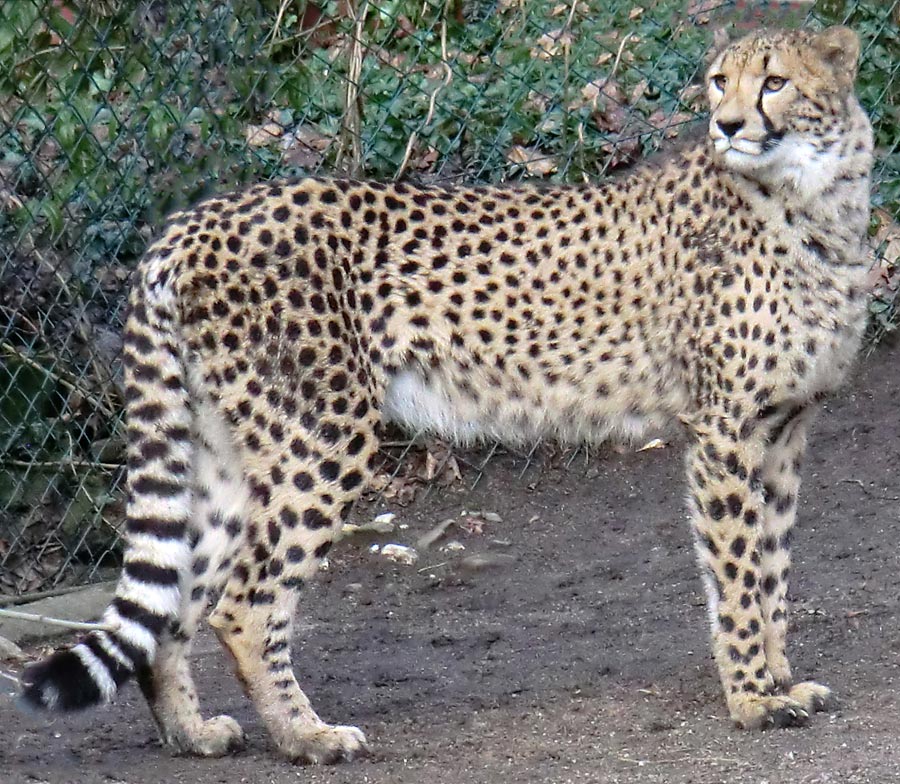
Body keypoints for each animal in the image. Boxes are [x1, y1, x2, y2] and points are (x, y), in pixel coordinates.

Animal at [24, 27, 876, 764]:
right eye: (719, 82)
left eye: (774, 82)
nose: (728, 124)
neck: (813, 196)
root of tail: (190, 223)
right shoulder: (725, 431)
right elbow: (737, 572)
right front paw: (753, 699)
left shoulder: (784, 430)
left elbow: (774, 567)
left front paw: (780, 676)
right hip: (319, 436)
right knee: (245, 602)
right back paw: (307, 737)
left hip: (226, 454)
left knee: (179, 595)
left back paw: (192, 732)